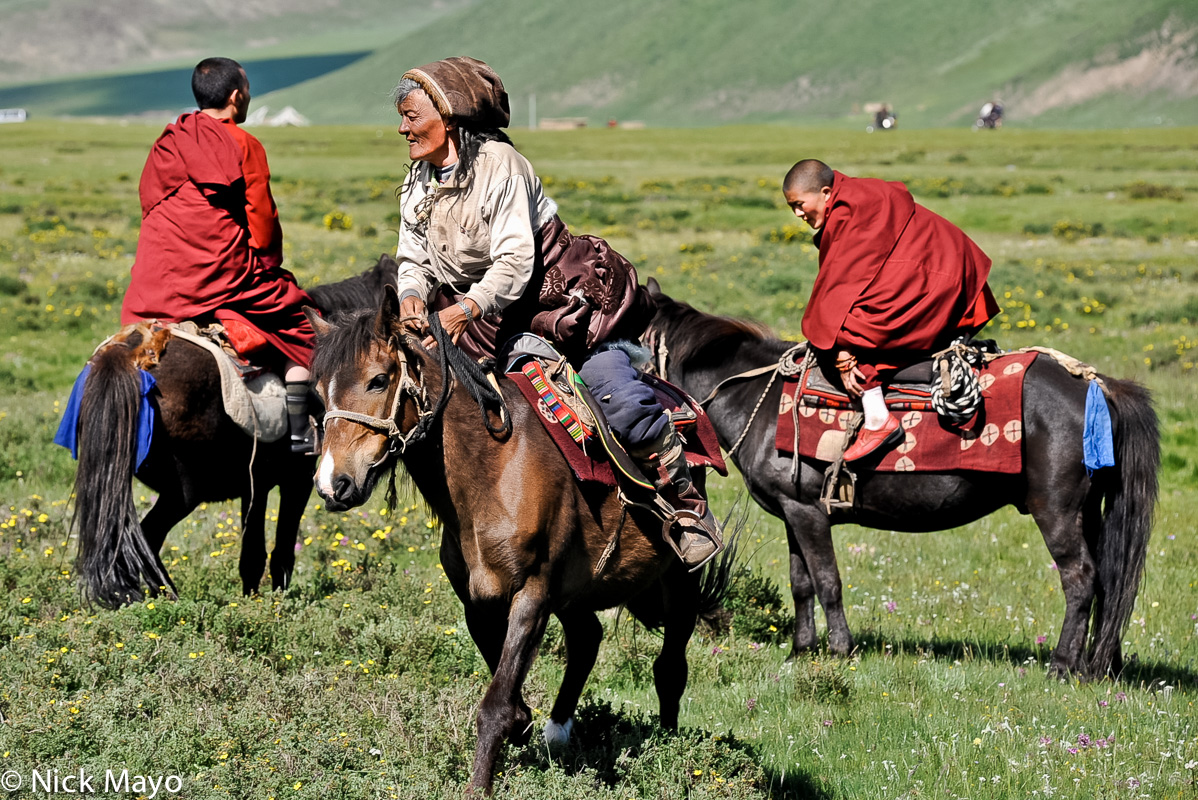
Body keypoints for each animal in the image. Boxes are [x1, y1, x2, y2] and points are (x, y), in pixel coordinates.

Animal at [304, 287, 733, 795]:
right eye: (318, 392)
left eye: (378, 380)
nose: (333, 484)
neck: (493, 467)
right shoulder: (479, 600)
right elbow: (508, 691)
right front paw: (525, 725)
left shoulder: (532, 593)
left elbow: (494, 705)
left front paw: (479, 786)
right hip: (575, 591)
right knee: (587, 638)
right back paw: (558, 732)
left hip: (677, 579)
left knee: (669, 666)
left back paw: (668, 745)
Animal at [646, 277, 1159, 680]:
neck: (762, 397)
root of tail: (1097, 385)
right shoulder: (793, 514)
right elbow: (801, 583)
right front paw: (800, 650)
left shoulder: (810, 514)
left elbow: (827, 580)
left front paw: (839, 650)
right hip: (1089, 511)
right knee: (1108, 580)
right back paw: (1097, 665)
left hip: (1057, 510)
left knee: (1081, 578)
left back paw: (1061, 666)